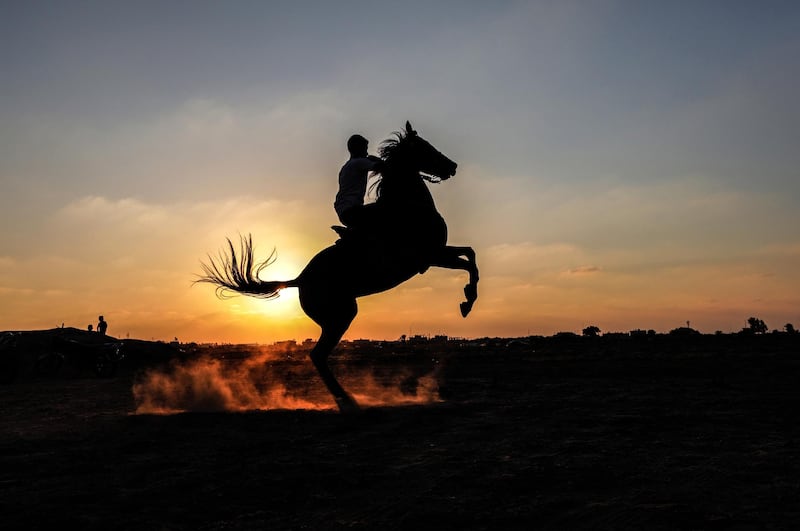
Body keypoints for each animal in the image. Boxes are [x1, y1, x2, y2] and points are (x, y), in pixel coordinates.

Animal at [197, 122, 478, 414]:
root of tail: (300, 279)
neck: (406, 208)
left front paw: (466, 301)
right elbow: (471, 263)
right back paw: (347, 401)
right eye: (423, 146)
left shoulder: (437, 254)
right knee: (318, 355)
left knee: (319, 356)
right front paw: (467, 302)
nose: (452, 166)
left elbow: (470, 255)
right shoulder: (429, 255)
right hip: (340, 316)